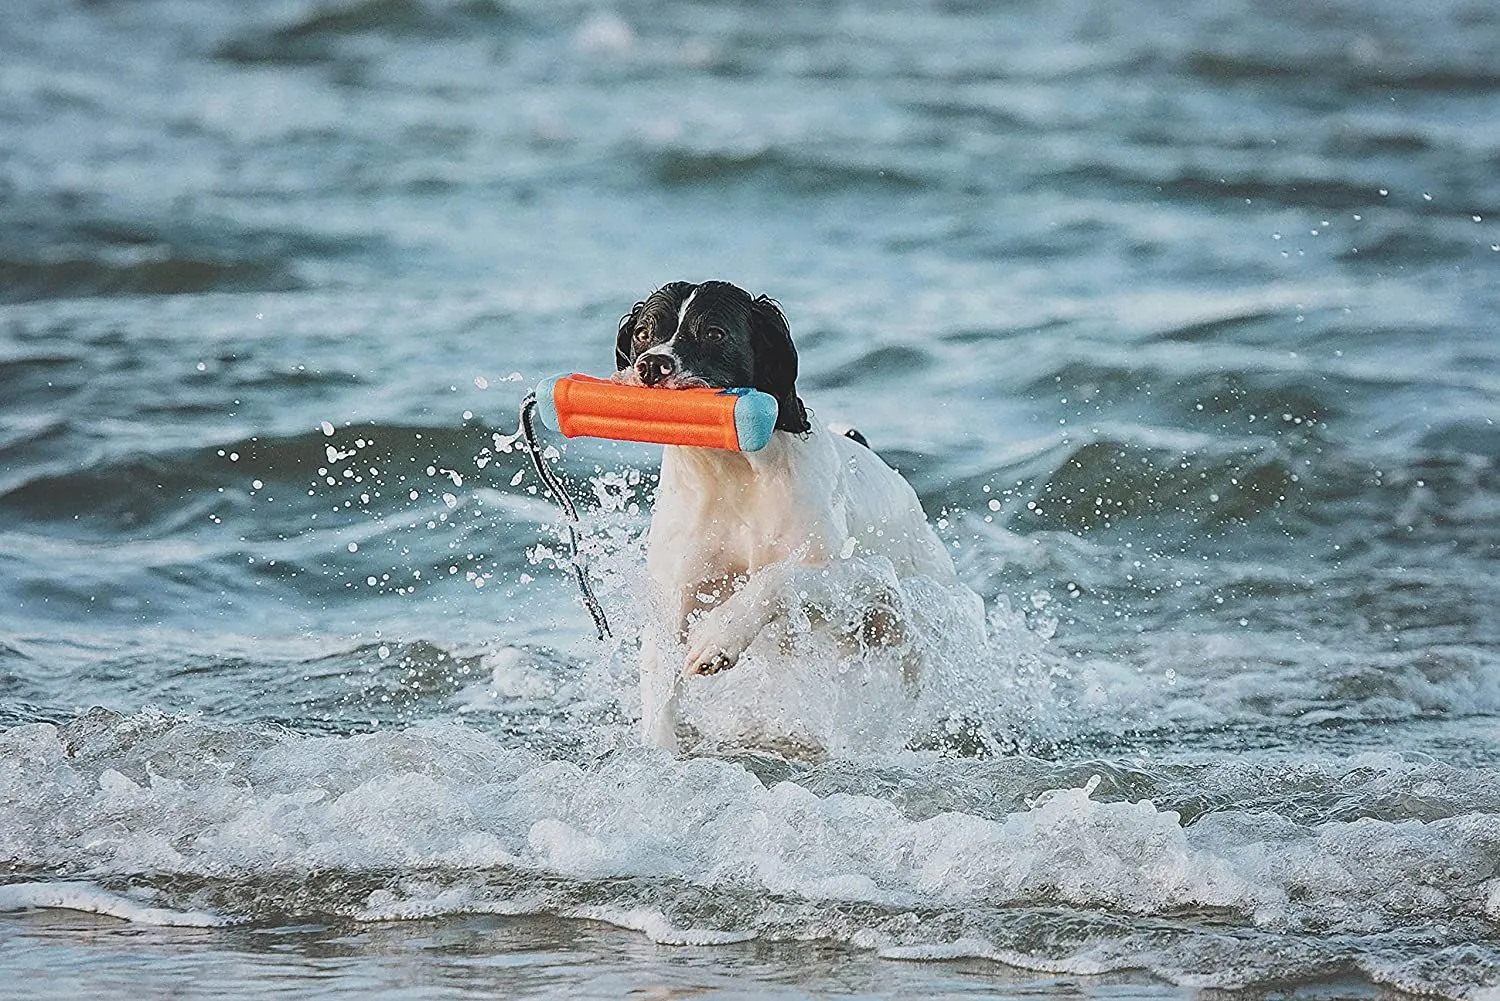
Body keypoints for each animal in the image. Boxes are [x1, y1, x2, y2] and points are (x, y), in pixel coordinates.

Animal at [612, 277, 984, 747]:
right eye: (644, 332)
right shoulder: (672, 600)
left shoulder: (858, 577)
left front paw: (720, 636)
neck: (732, 471)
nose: (651, 366)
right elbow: (659, 689)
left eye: (714, 333)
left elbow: (780, 576)